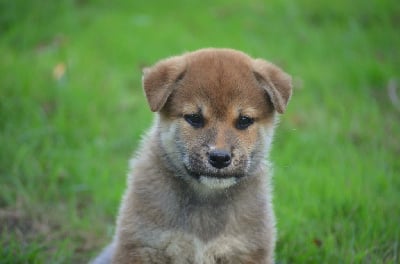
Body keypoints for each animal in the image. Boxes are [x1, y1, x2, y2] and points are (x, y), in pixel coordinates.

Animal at [94, 48, 294, 262]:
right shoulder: (143, 246)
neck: (206, 198)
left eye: (244, 120)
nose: (220, 158)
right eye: (194, 118)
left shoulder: (245, 250)